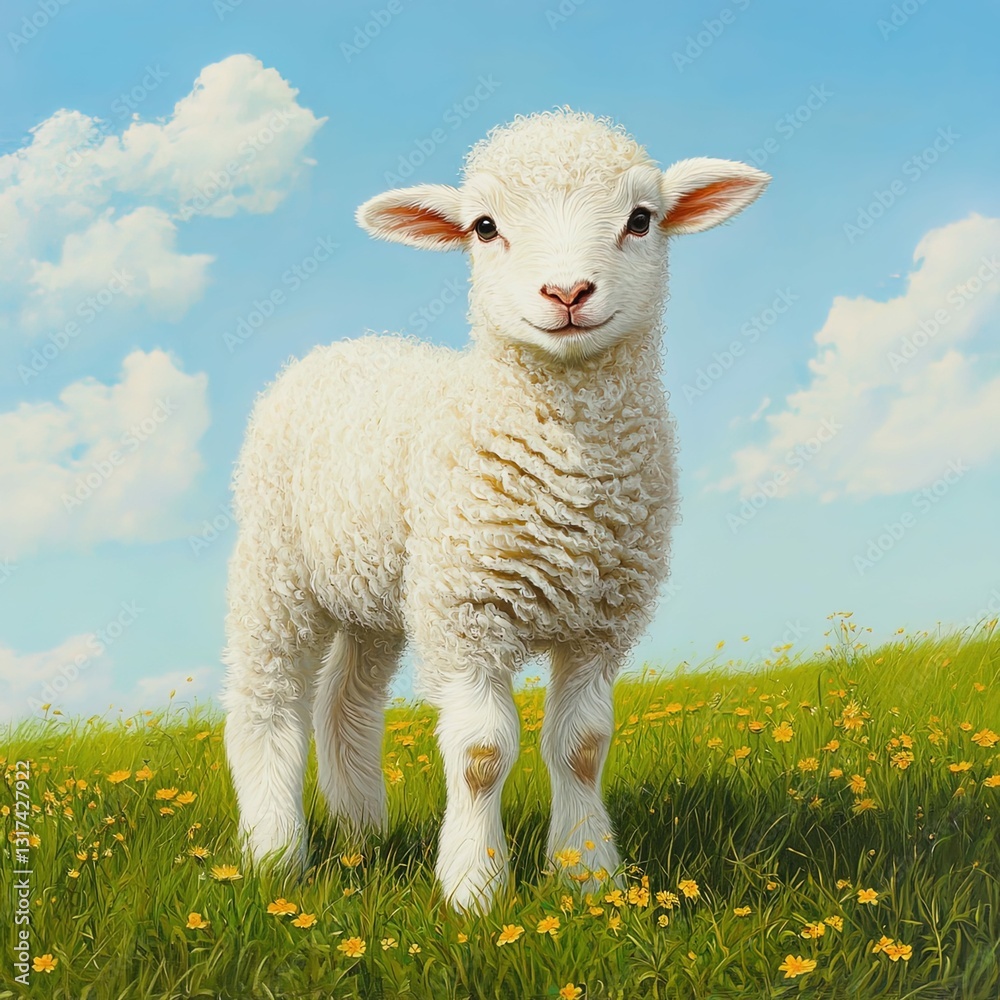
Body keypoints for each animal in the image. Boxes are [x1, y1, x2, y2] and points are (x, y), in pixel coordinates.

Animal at [222, 109, 769, 912]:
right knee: (267, 704)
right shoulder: (467, 614)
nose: (567, 291)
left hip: (380, 592)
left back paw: (363, 833)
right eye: (484, 227)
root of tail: (341, 348)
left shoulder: (601, 621)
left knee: (345, 706)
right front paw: (473, 890)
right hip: (276, 566)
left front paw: (587, 876)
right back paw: (274, 852)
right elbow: (481, 753)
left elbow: (582, 748)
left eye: (641, 219)